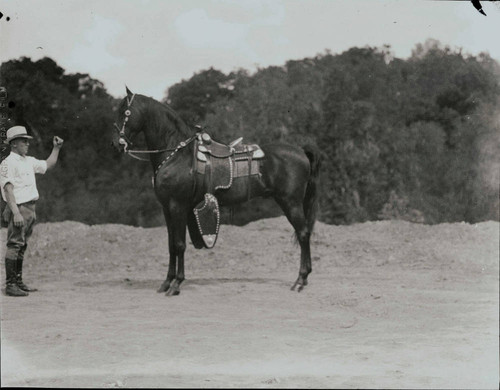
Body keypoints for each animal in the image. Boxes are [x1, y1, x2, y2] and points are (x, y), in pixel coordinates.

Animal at [112, 87, 322, 296]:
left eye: (125, 112)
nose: (117, 144)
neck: (177, 154)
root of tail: (302, 152)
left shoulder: (178, 206)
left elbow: (180, 244)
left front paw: (176, 284)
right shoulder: (167, 208)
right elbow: (171, 245)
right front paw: (166, 282)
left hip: (291, 202)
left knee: (303, 233)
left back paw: (300, 280)